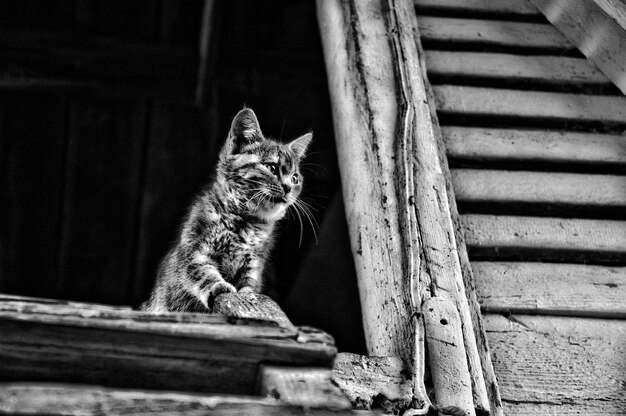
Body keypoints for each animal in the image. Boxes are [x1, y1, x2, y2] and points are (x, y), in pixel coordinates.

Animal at [140, 107, 310, 312]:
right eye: (271, 167)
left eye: (295, 178)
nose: (288, 188)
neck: (246, 221)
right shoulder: (194, 249)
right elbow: (202, 271)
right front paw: (218, 286)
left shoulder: (254, 263)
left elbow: (250, 283)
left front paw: (249, 295)